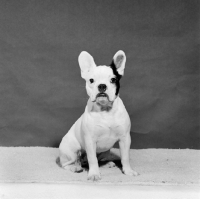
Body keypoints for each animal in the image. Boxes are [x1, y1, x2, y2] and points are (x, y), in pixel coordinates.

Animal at [58, 50, 138, 181]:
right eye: (91, 80)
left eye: (113, 80)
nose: (102, 85)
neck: (105, 110)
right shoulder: (90, 140)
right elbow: (92, 159)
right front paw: (94, 174)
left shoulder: (125, 138)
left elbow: (125, 157)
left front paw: (128, 171)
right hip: (71, 150)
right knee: (68, 163)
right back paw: (75, 167)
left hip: (105, 151)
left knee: (96, 160)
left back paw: (106, 164)